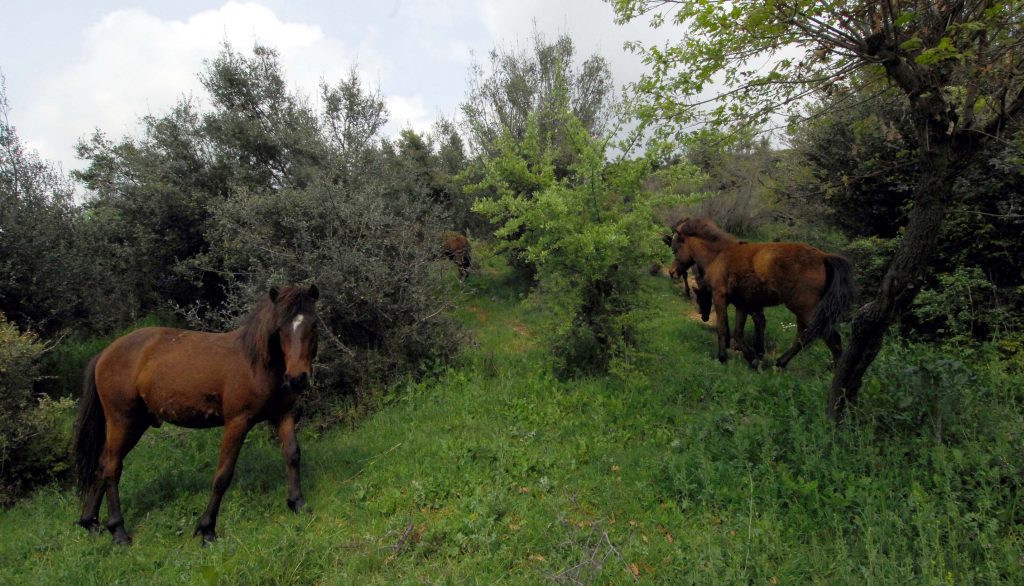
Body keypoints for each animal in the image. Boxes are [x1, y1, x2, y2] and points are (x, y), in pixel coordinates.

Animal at [73, 284, 319, 545]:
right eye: (281, 328)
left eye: (314, 325)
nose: (297, 378)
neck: (257, 363)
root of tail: (104, 354)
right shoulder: (237, 422)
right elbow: (223, 475)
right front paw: (207, 528)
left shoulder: (283, 415)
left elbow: (292, 455)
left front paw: (298, 504)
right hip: (122, 421)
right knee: (112, 467)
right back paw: (118, 531)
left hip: (136, 424)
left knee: (103, 464)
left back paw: (90, 521)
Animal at [679, 219, 856, 366]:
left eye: (677, 244)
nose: (703, 315)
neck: (720, 255)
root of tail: (823, 256)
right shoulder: (743, 304)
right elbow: (739, 332)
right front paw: (752, 357)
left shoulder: (720, 296)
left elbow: (723, 328)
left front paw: (723, 357)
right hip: (803, 311)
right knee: (803, 336)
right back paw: (780, 362)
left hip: (804, 309)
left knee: (831, 339)